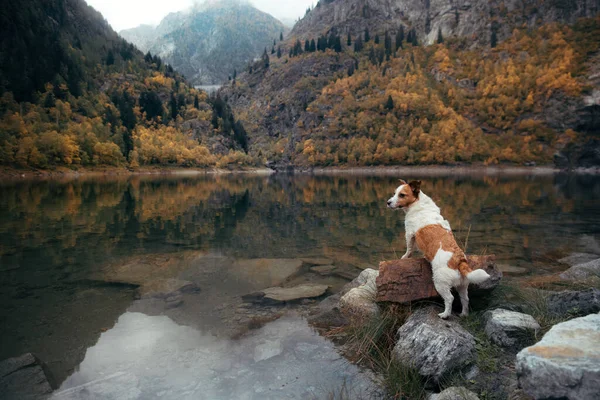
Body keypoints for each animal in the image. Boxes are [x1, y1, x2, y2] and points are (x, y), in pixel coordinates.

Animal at [386, 179, 490, 318]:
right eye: (394, 193)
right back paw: (463, 314)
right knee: (465, 299)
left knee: (450, 298)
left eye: (402, 195)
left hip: (440, 282)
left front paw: (405, 257)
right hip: (462, 285)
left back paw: (445, 315)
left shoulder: (409, 234)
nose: (388, 202)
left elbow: (409, 248)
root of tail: (459, 260)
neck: (418, 203)